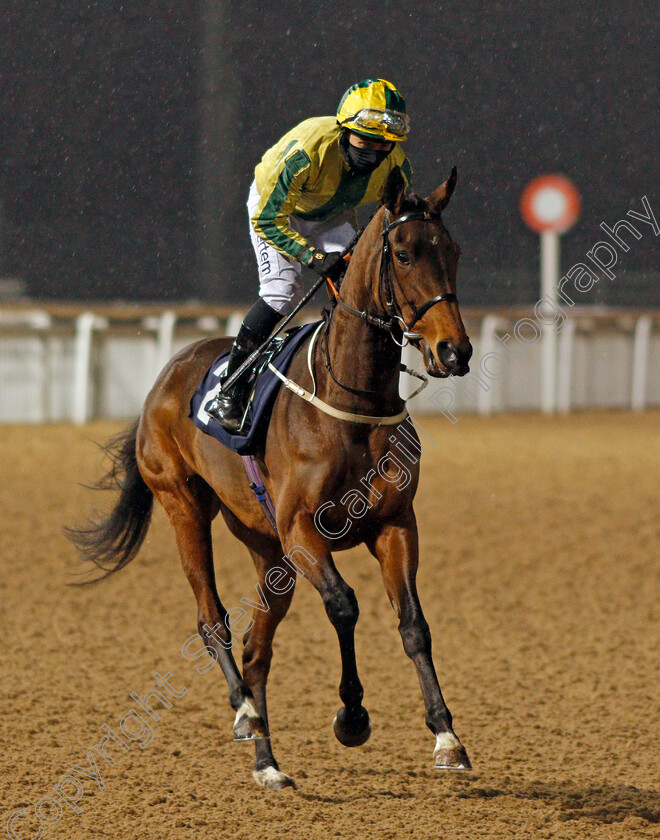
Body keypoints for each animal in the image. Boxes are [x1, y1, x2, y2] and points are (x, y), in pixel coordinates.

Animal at [69, 167, 474, 792]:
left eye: (451, 251)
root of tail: (168, 373)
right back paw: (243, 712)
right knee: (213, 621)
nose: (454, 350)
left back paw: (268, 762)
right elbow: (343, 605)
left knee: (258, 648)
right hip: (184, 506)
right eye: (404, 253)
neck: (350, 402)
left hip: (267, 551)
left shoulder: (394, 524)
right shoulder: (303, 531)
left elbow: (413, 625)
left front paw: (446, 737)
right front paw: (351, 717)